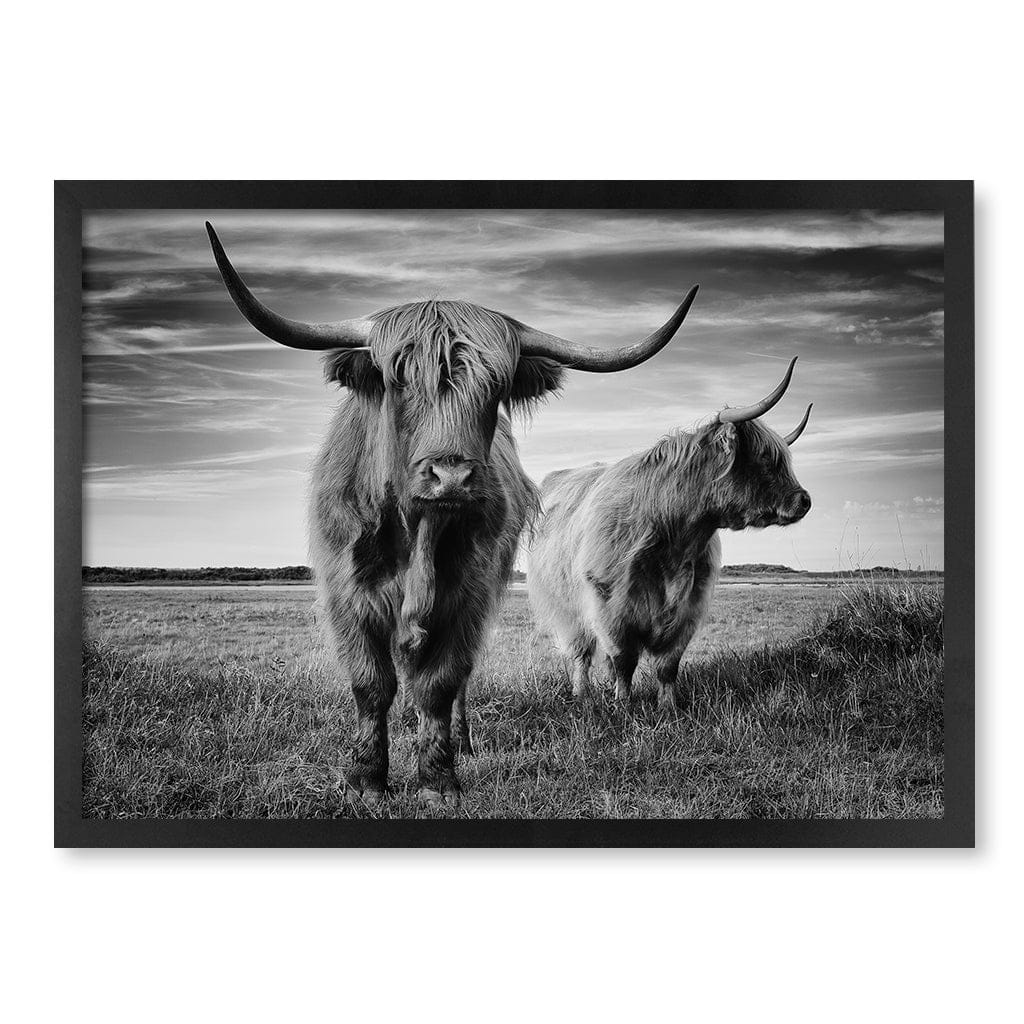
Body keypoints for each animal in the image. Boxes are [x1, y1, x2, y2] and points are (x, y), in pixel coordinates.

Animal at [206, 222, 699, 804]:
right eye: (398, 380)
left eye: (496, 387)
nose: (452, 477)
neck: (417, 532)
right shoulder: (347, 593)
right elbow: (371, 684)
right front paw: (367, 779)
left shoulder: (467, 594)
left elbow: (440, 684)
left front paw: (438, 780)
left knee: (456, 680)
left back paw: (459, 742)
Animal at [527, 357, 812, 711]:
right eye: (764, 457)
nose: (804, 500)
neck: (675, 538)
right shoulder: (610, 606)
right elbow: (623, 660)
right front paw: (623, 704)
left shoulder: (689, 607)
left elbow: (667, 664)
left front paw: (669, 707)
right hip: (565, 608)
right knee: (581, 652)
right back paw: (583, 694)